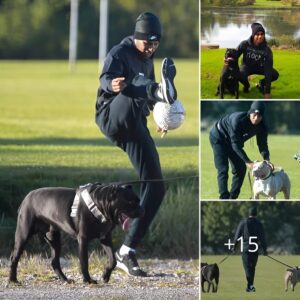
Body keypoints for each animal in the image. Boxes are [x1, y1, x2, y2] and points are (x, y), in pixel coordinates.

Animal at [9, 183, 144, 284]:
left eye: (138, 201)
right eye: (130, 202)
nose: (142, 210)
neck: (100, 205)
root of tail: (26, 198)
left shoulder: (105, 238)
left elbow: (113, 260)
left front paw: (105, 275)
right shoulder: (83, 239)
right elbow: (84, 261)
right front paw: (88, 280)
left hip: (54, 238)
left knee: (54, 261)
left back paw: (65, 279)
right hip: (23, 234)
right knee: (14, 257)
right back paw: (13, 280)